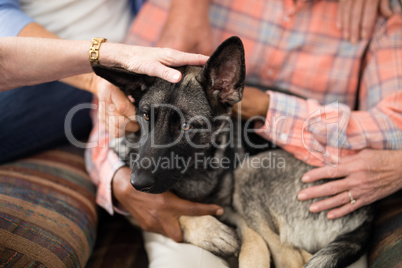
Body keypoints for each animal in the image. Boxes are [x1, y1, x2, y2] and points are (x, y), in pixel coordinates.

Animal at [92, 36, 374, 266]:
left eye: (186, 126)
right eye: (145, 116)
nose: (137, 183)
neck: (195, 171)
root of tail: (368, 212)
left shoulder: (245, 224)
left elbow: (254, 251)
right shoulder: (136, 209)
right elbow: (169, 210)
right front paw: (210, 230)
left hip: (250, 172)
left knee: (292, 258)